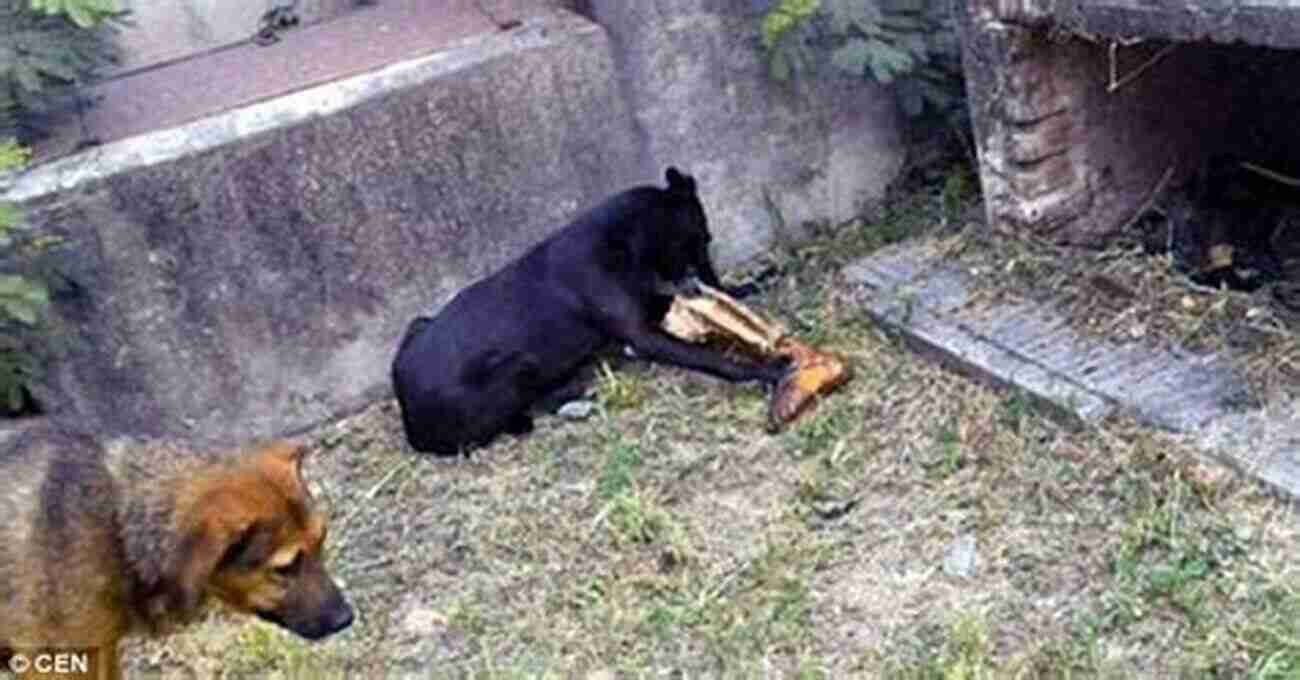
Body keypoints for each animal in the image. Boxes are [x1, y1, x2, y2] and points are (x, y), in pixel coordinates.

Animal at [0, 423, 353, 676]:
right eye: (285, 568)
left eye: (322, 540)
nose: (346, 619)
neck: (116, 526)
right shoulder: (58, 659)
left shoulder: (103, 649)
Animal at [390, 166, 785, 455]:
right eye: (700, 239)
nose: (700, 281)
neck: (626, 239)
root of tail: (409, 419)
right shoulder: (643, 336)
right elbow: (715, 360)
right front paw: (768, 370)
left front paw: (756, 282)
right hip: (513, 368)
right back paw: (565, 398)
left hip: (418, 323)